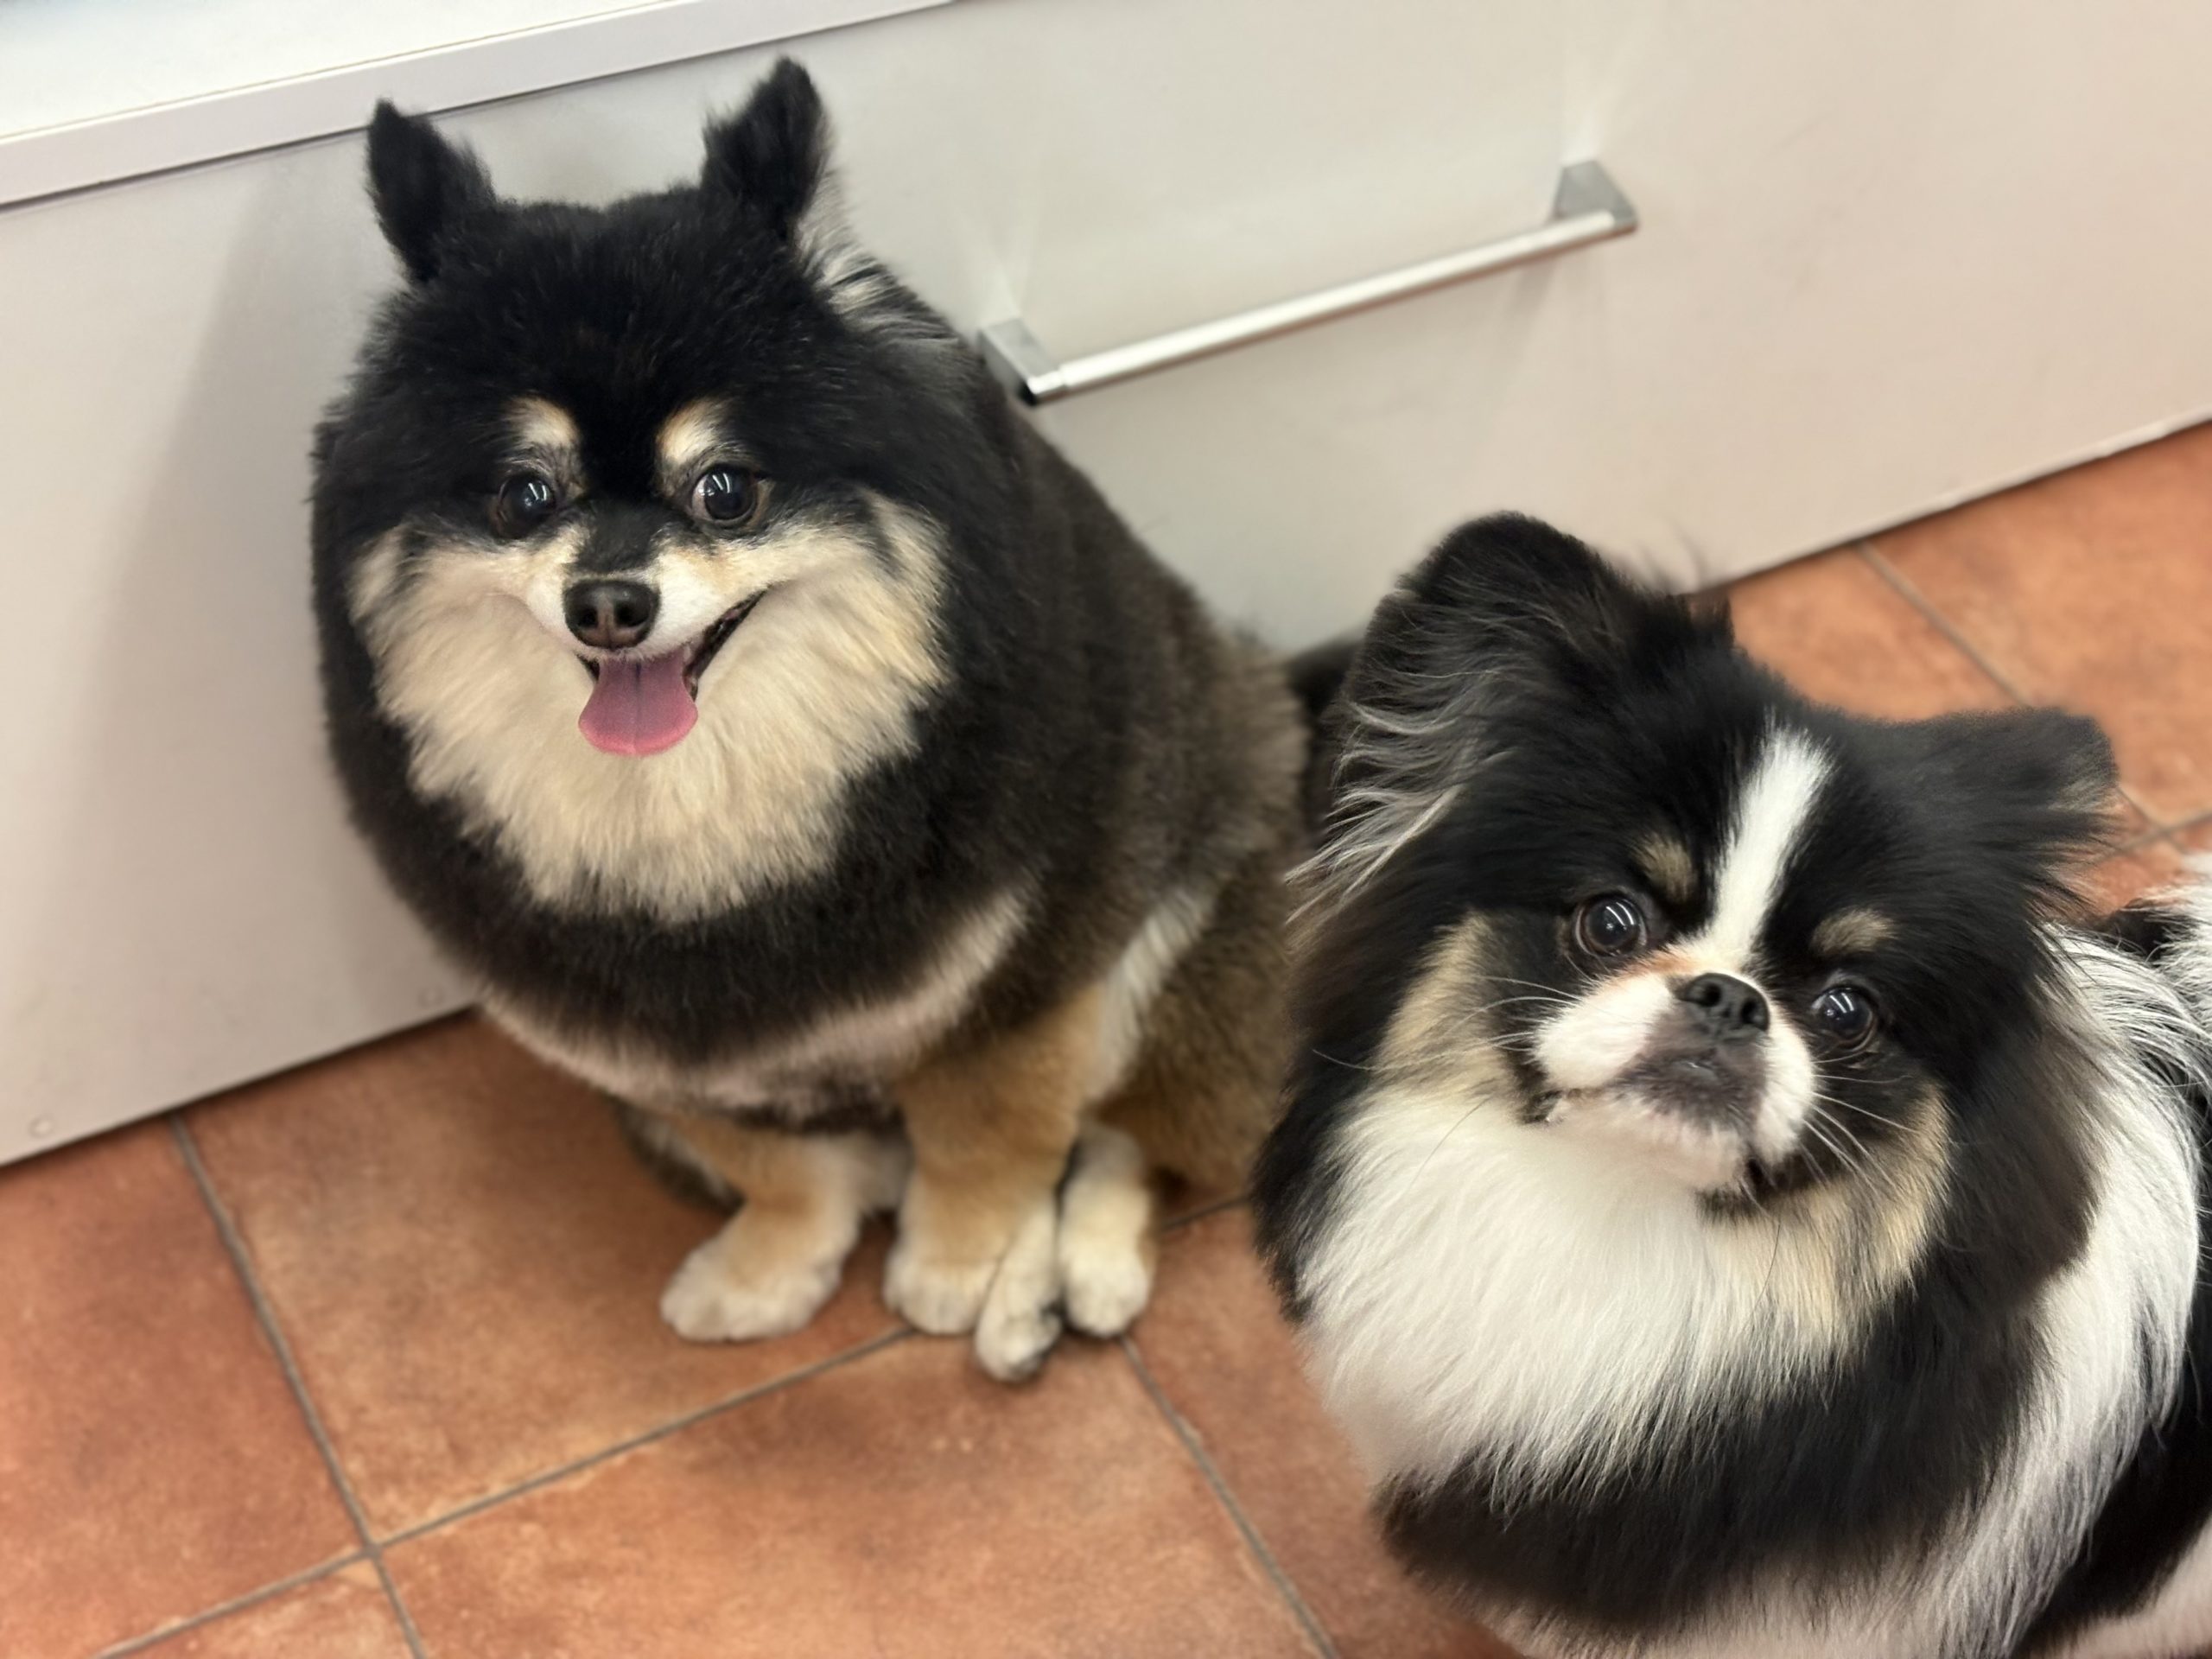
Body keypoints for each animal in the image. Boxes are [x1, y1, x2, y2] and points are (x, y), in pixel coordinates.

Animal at [311, 60, 1322, 1381]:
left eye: (725, 490)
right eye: (523, 496)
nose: (610, 603)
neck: (708, 817)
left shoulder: (1028, 972)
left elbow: (992, 1138)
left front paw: (954, 1264)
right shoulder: (660, 1053)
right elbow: (780, 1169)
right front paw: (771, 1269)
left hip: (1190, 934)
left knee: (1125, 1148)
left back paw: (1067, 1279)